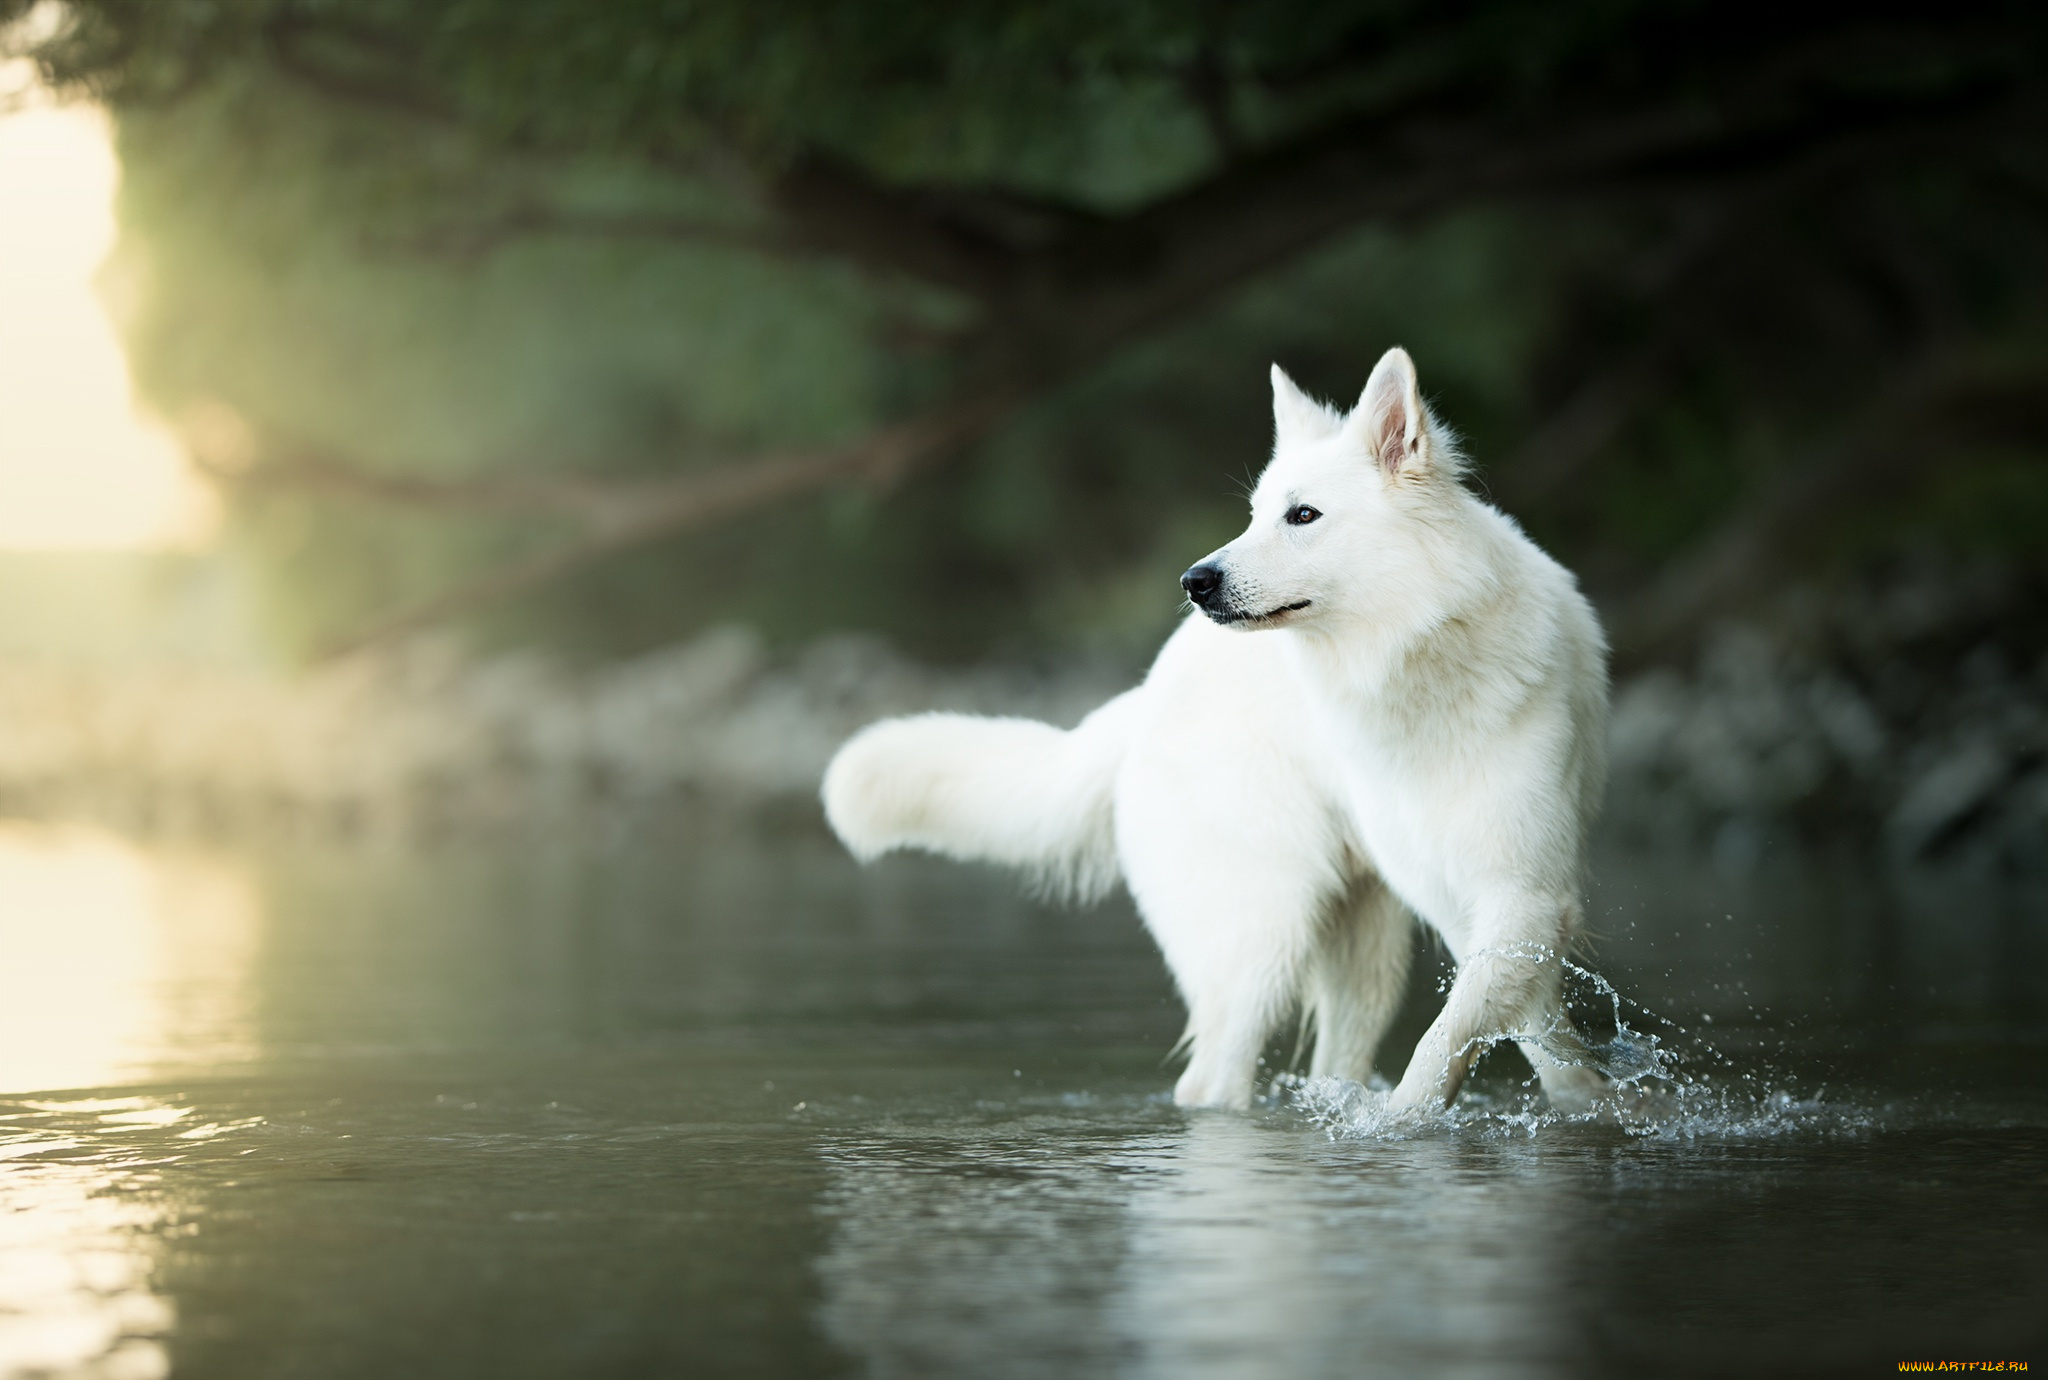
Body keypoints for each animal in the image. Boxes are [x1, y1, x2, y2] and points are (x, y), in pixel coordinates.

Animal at [823, 350, 1605, 1113]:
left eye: (1302, 515)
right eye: (1256, 516)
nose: (1194, 582)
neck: (1419, 657)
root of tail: (1146, 696)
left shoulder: (1520, 896)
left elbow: (1498, 1029)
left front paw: (1597, 1104)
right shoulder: (1478, 900)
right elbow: (1464, 1033)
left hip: (1363, 951)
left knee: (1333, 1061)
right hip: (1264, 937)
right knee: (1214, 1081)